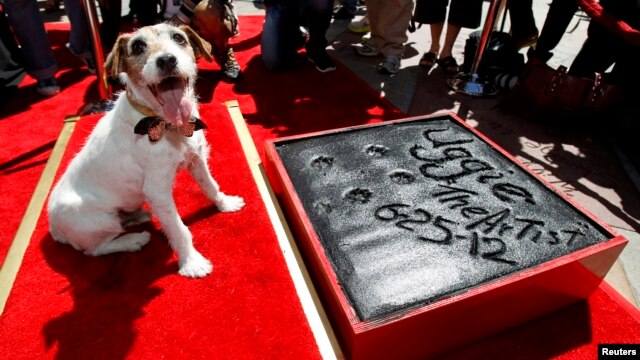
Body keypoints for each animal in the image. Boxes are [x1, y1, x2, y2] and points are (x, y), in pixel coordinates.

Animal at [47, 23, 245, 278]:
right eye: (138, 46)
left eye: (179, 38)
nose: (167, 60)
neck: (165, 124)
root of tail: (53, 227)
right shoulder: (158, 191)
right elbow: (178, 229)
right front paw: (191, 261)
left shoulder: (196, 159)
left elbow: (211, 186)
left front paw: (225, 204)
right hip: (100, 222)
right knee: (96, 249)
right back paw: (133, 240)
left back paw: (135, 216)